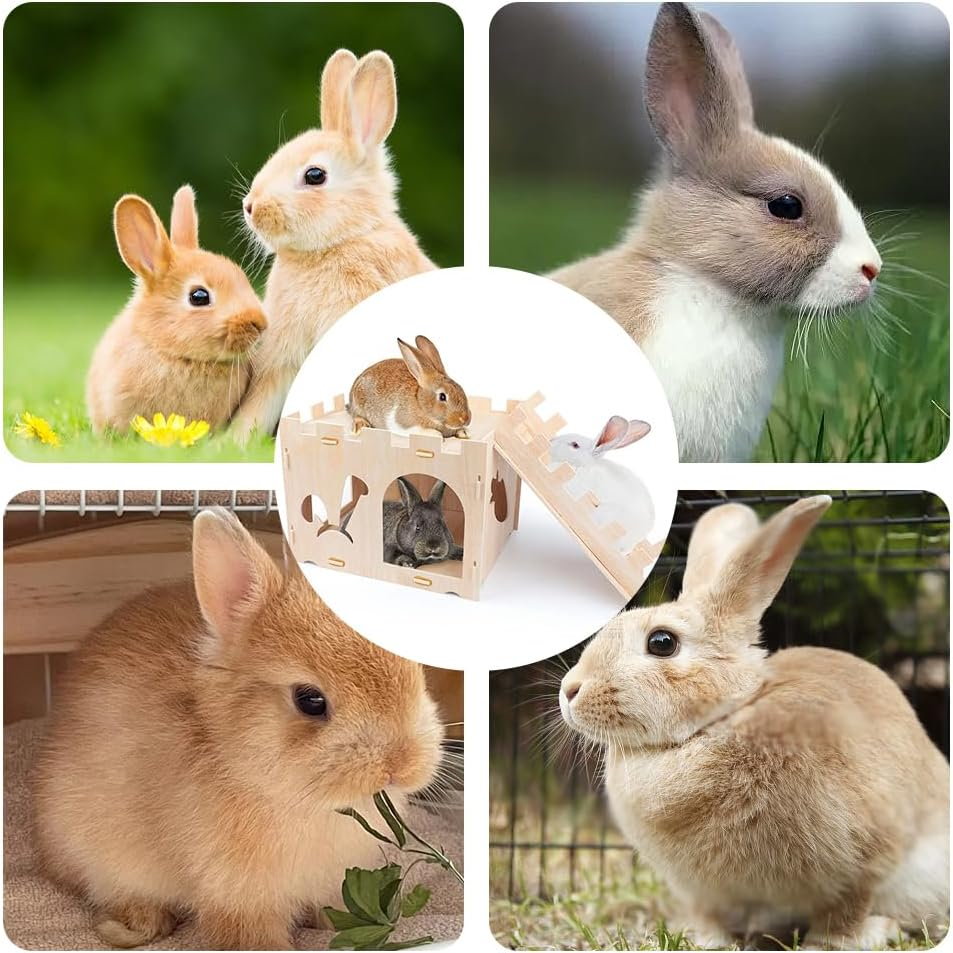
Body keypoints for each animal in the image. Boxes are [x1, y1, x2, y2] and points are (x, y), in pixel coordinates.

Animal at [230, 49, 437, 443]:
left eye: (315, 175)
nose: (250, 206)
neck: (340, 241)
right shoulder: (281, 358)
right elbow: (259, 407)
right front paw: (230, 442)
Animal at [559, 496, 949, 950]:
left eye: (662, 642)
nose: (569, 690)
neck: (718, 722)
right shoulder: (701, 892)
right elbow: (710, 916)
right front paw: (708, 940)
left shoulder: (867, 859)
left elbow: (847, 909)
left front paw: (834, 942)